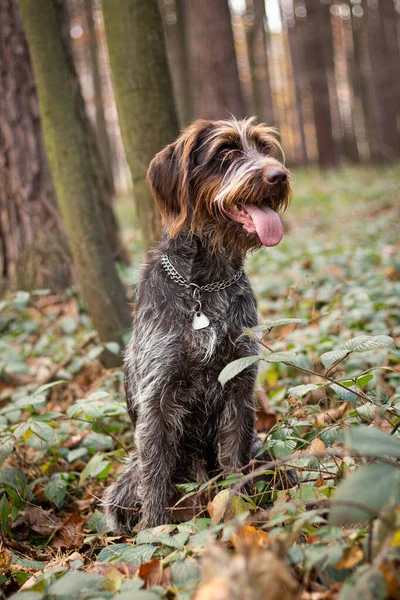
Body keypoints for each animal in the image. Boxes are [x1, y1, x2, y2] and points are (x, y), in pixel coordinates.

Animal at [104, 118, 290, 536]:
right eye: (225, 152)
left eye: (264, 148)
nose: (279, 176)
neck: (205, 286)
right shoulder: (157, 397)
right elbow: (155, 477)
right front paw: (154, 535)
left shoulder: (239, 386)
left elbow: (234, 462)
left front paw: (238, 511)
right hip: (121, 487)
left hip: (263, 447)